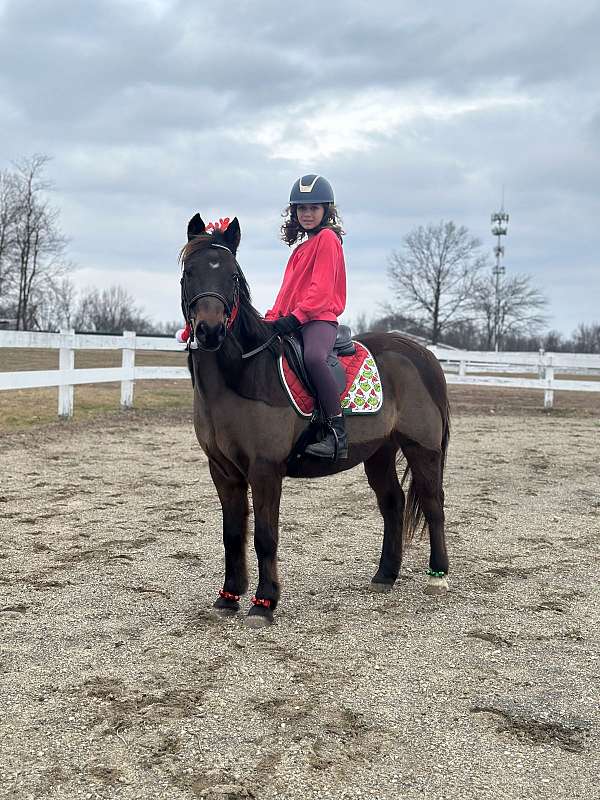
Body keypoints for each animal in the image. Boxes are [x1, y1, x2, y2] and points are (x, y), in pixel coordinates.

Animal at [180, 214, 450, 627]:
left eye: (234, 276)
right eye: (189, 272)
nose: (210, 330)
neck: (243, 373)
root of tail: (419, 353)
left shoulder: (265, 469)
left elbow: (265, 536)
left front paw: (264, 603)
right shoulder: (222, 470)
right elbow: (232, 534)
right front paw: (228, 597)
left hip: (423, 448)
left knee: (433, 503)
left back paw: (438, 576)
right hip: (380, 452)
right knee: (393, 503)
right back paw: (385, 576)